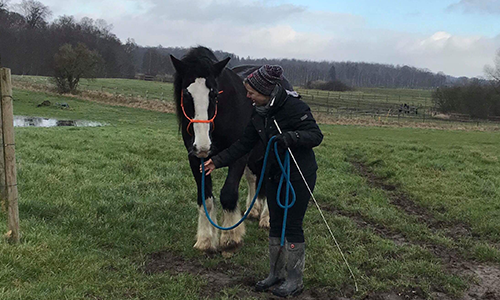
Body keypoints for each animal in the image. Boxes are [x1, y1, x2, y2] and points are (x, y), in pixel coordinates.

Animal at [170, 47, 270, 253]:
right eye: (186, 94)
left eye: (215, 94)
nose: (203, 146)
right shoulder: (195, 160)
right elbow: (205, 198)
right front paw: (206, 240)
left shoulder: (238, 155)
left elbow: (228, 194)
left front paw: (231, 238)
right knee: (253, 179)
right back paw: (253, 210)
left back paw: (266, 218)